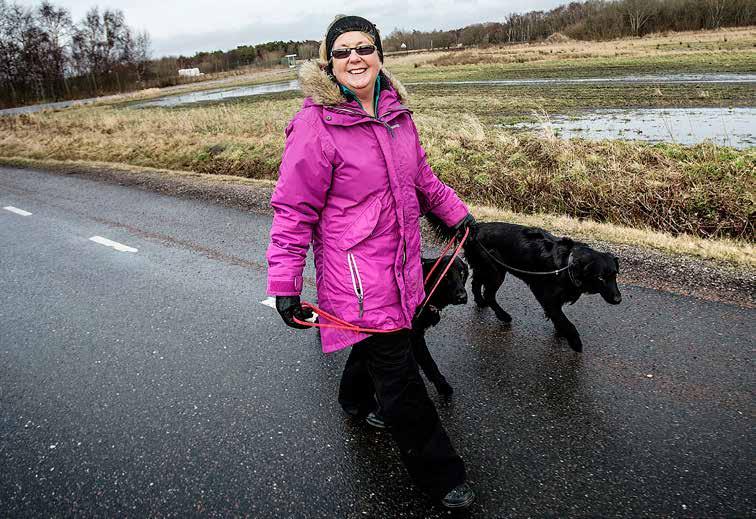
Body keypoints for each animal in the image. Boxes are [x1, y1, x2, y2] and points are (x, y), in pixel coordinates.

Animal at [410, 256, 470, 398]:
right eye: (446, 276)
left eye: (462, 273)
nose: (462, 297)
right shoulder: (415, 336)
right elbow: (429, 363)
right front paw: (442, 385)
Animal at [466, 223, 620, 354]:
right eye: (600, 278)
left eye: (615, 275)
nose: (618, 299)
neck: (568, 263)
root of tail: (476, 227)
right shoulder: (547, 296)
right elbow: (565, 321)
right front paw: (575, 341)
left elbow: (559, 318)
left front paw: (562, 331)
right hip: (495, 271)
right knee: (489, 294)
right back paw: (503, 316)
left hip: (485, 268)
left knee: (476, 284)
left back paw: (480, 302)